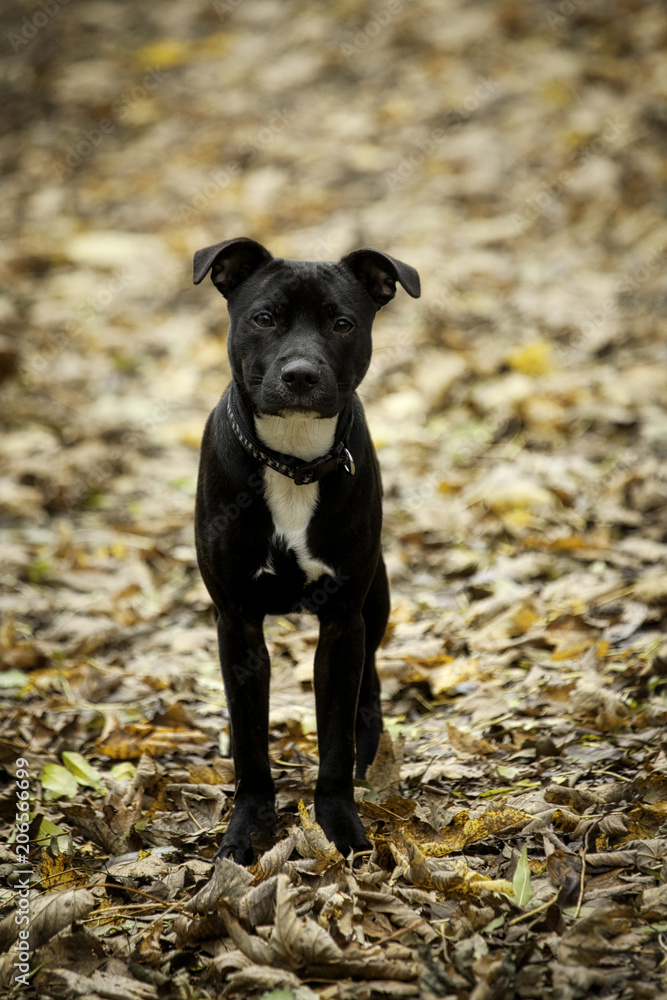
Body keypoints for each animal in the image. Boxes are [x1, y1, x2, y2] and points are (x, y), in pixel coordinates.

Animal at [193, 234, 420, 860]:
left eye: (342, 323)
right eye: (264, 318)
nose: (299, 375)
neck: (292, 461)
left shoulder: (342, 621)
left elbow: (335, 739)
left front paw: (340, 826)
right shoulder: (237, 624)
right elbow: (252, 743)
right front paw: (246, 830)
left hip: (375, 600)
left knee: (370, 681)